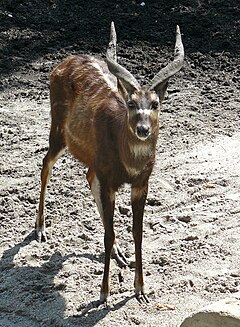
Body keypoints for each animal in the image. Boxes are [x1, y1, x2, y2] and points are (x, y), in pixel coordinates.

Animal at [36, 22, 185, 304]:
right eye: (131, 103)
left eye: (155, 104)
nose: (142, 129)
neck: (129, 163)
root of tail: (62, 63)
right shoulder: (108, 179)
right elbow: (107, 234)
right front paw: (104, 294)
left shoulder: (141, 183)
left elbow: (137, 232)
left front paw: (141, 290)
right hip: (58, 129)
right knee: (45, 163)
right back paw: (39, 229)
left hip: (89, 157)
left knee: (86, 175)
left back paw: (120, 254)